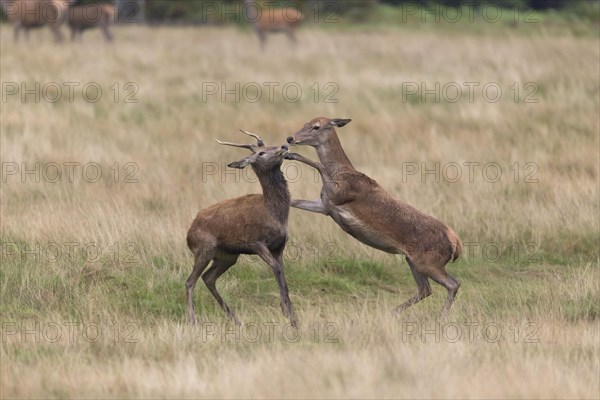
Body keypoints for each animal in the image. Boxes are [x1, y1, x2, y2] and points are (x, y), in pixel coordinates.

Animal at [185, 130, 298, 326]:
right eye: (261, 153)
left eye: (270, 146)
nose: (284, 146)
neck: (275, 213)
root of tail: (188, 234)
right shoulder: (255, 241)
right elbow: (276, 268)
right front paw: (288, 314)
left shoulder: (279, 246)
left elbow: (282, 271)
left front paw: (290, 314)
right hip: (204, 249)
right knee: (190, 281)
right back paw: (193, 320)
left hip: (228, 256)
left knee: (208, 278)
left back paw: (234, 318)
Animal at [286, 117, 464, 318]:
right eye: (305, 123)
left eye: (316, 126)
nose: (290, 138)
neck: (342, 173)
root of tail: (457, 243)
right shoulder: (325, 205)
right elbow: (294, 201)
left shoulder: (340, 194)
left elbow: (320, 166)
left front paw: (290, 155)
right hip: (412, 260)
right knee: (425, 289)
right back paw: (393, 312)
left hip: (428, 261)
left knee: (453, 283)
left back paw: (440, 317)